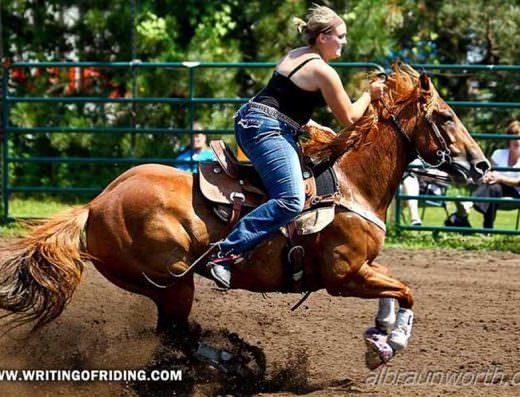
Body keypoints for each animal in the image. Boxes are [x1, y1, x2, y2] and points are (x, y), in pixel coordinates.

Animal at [0, 63, 488, 370]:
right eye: (445, 116)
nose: (481, 165)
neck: (352, 183)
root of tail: (95, 206)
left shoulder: (365, 267)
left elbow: (398, 289)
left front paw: (380, 337)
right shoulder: (344, 276)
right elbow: (406, 291)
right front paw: (391, 341)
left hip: (162, 288)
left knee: (172, 337)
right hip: (173, 283)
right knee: (178, 336)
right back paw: (235, 361)